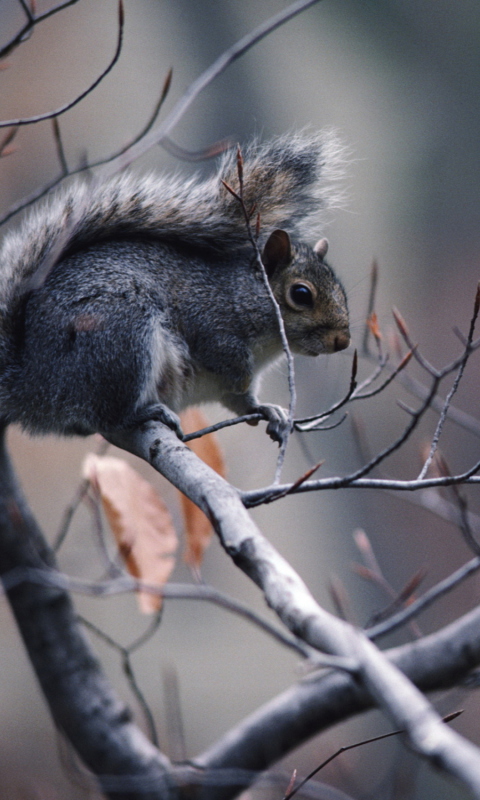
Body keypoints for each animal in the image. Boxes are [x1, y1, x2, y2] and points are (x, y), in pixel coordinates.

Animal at [0, 131, 348, 444]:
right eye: (301, 294)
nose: (342, 342)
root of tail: (32, 383)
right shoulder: (209, 320)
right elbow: (221, 356)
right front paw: (240, 375)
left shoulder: (231, 389)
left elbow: (241, 401)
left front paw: (268, 410)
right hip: (120, 336)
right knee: (107, 415)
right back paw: (145, 413)